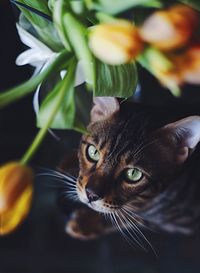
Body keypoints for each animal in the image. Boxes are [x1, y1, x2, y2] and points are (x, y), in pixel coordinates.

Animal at [63, 96, 200, 242]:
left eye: (133, 174)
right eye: (93, 152)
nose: (91, 194)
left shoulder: (184, 220)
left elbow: (128, 217)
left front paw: (85, 223)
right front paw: (69, 162)